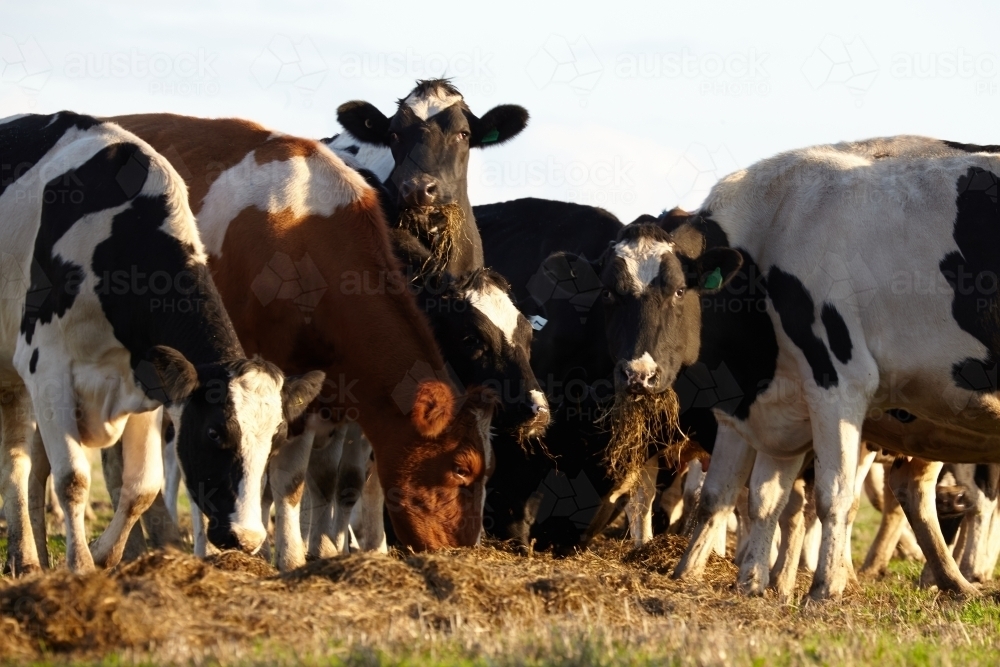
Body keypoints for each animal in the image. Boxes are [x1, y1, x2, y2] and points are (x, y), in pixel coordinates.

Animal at [0, 111, 322, 576]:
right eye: (214, 431)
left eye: (276, 441)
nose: (246, 539)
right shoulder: (47, 367)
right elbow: (73, 478)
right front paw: (81, 566)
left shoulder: (146, 382)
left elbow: (142, 487)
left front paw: (104, 554)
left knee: (17, 462)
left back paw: (26, 558)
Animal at [107, 113, 498, 564]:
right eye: (460, 468)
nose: (465, 548)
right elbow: (277, 478)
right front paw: (287, 555)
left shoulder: (318, 394)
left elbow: (311, 480)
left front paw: (307, 553)